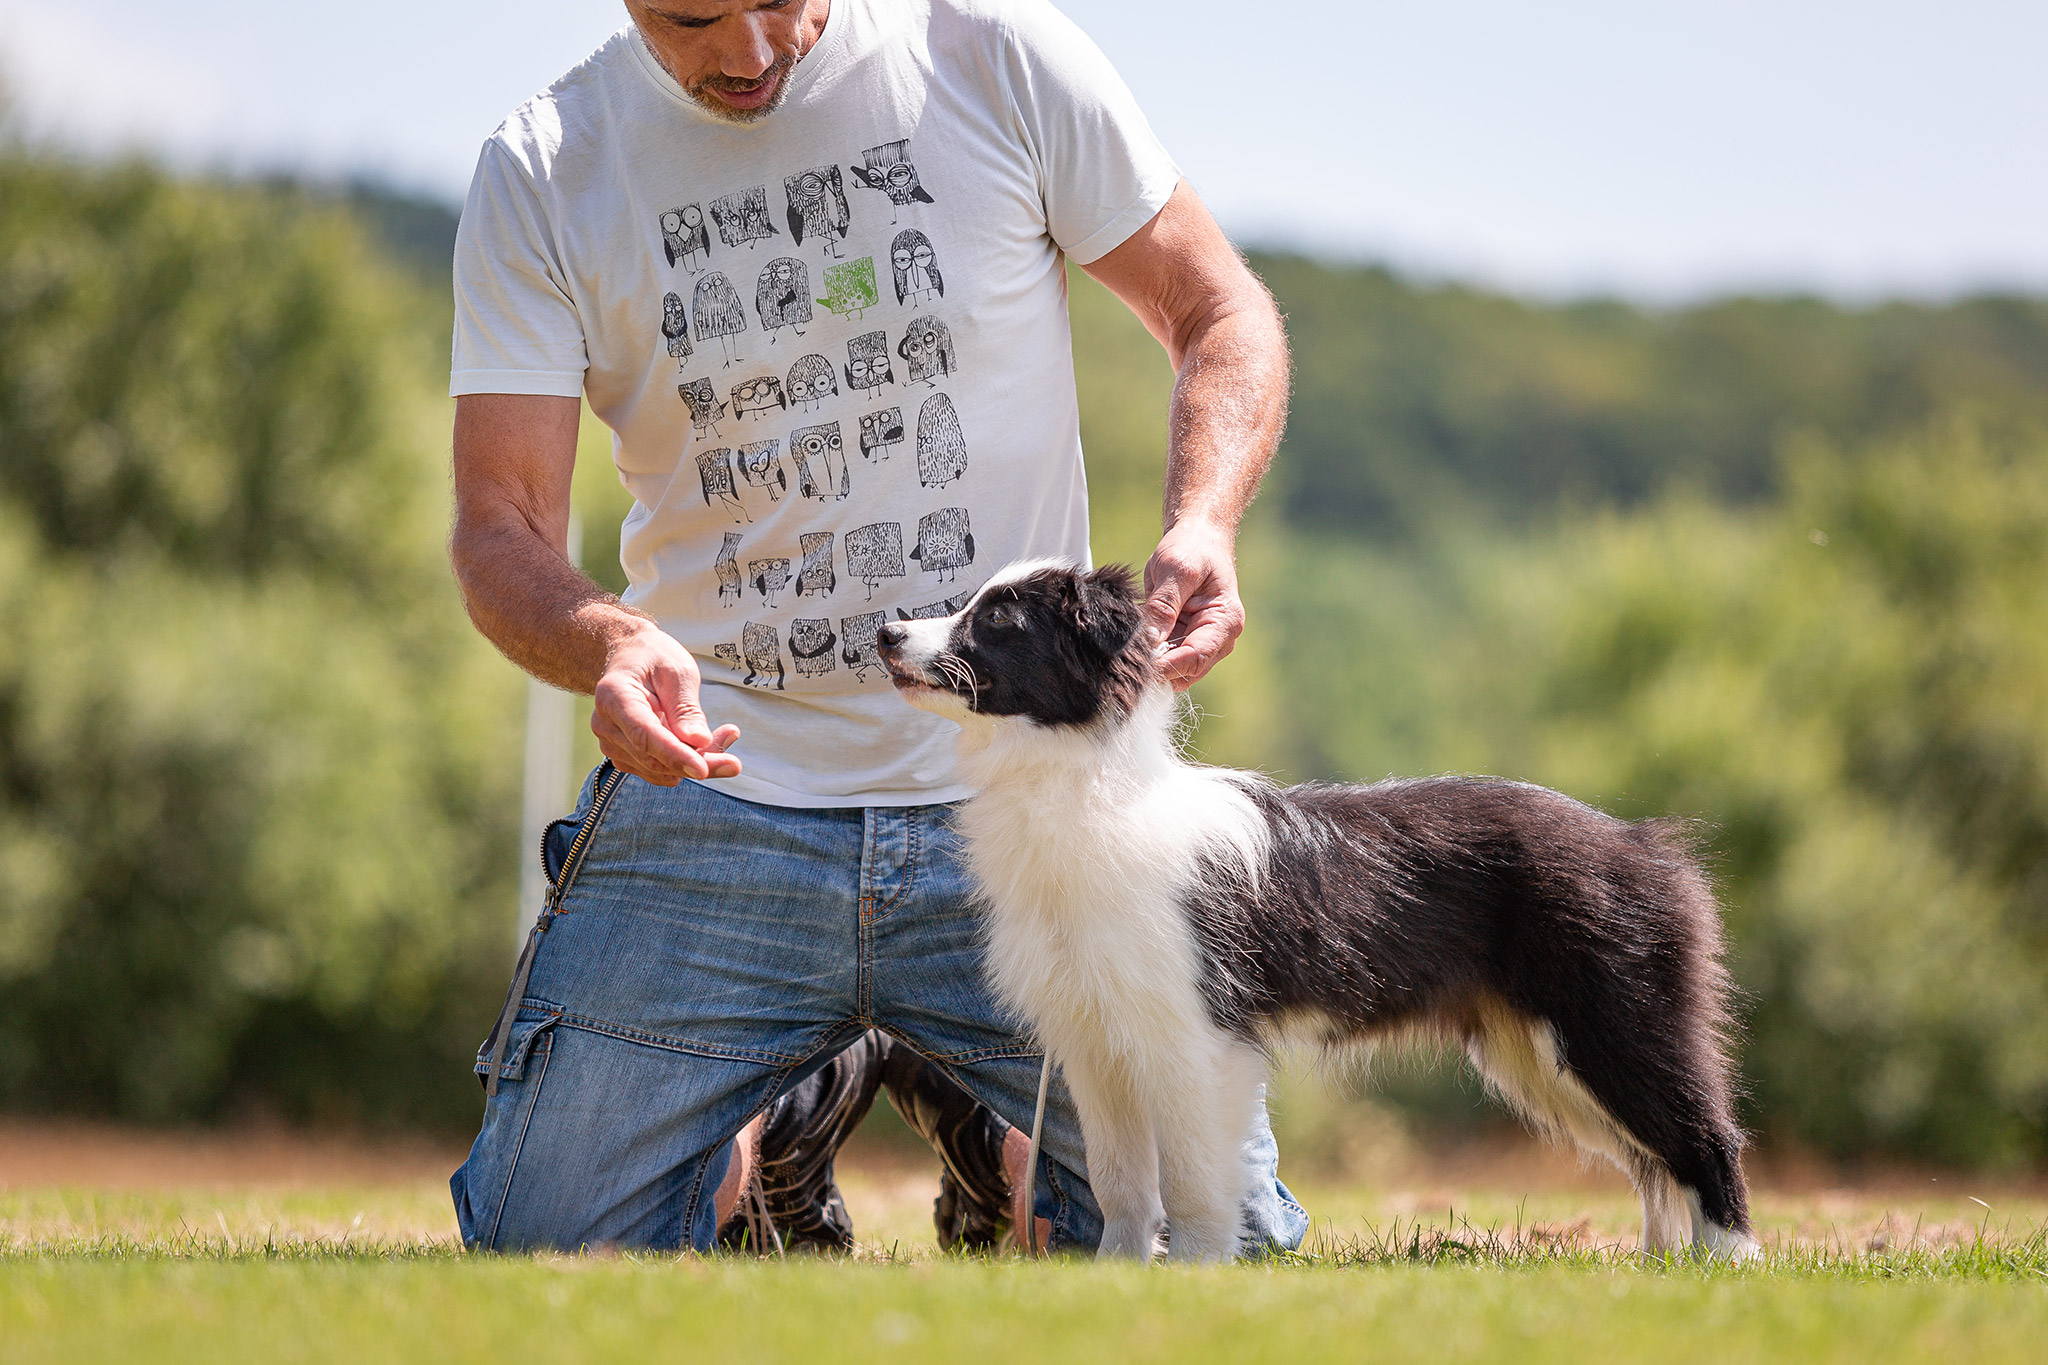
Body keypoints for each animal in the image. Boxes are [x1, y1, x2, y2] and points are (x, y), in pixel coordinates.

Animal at [876, 560, 1761, 1268]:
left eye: (1001, 619)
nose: (885, 631)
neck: (1085, 789)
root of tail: (1644, 845)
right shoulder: (1098, 1042)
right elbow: (1121, 1179)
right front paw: (1114, 1273)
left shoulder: (1195, 1036)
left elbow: (1193, 1175)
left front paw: (1195, 1272)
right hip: (1541, 1051)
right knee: (1653, 1160)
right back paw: (1654, 1267)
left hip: (1614, 1017)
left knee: (1704, 1136)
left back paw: (1730, 1267)